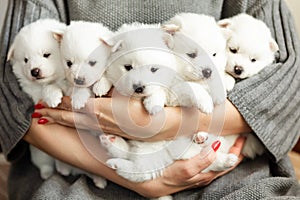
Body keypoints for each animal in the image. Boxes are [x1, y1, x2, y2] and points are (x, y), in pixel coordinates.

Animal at [6, 18, 67, 179]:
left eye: (46, 54)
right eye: (26, 60)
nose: (34, 71)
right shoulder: (34, 94)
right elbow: (45, 89)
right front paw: (52, 96)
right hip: (40, 155)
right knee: (45, 164)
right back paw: (48, 173)